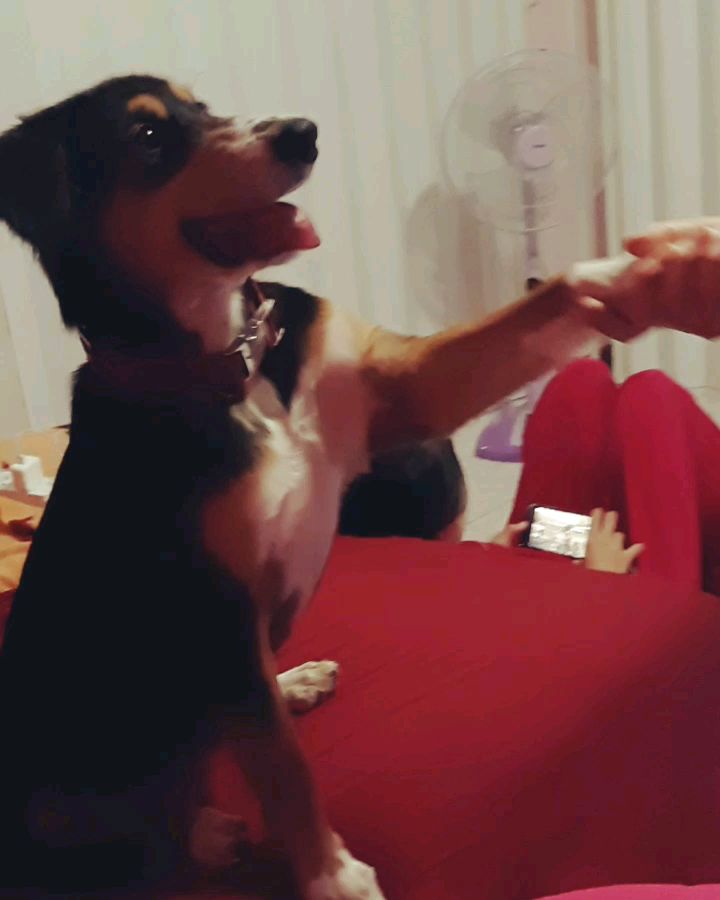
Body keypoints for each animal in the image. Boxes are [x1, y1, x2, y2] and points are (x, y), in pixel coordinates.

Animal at [0, 74, 637, 899]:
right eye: (147, 138)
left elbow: (540, 303)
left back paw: (293, 685)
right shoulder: (218, 615)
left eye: (203, 107)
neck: (229, 365)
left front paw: (638, 272)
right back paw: (208, 830)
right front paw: (333, 876)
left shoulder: (404, 385)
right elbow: (283, 771)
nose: (303, 134)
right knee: (129, 831)